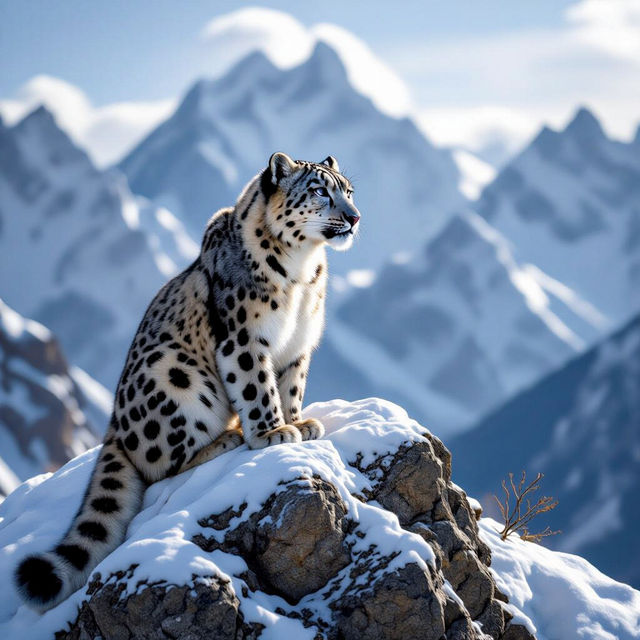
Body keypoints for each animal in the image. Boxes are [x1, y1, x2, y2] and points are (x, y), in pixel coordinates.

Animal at [15, 152, 360, 611]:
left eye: (349, 190)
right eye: (321, 190)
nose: (355, 217)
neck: (303, 275)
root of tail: (112, 429)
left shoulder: (297, 347)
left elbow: (289, 388)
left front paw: (299, 422)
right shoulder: (243, 340)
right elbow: (258, 388)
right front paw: (274, 433)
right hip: (174, 378)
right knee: (161, 466)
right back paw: (224, 439)